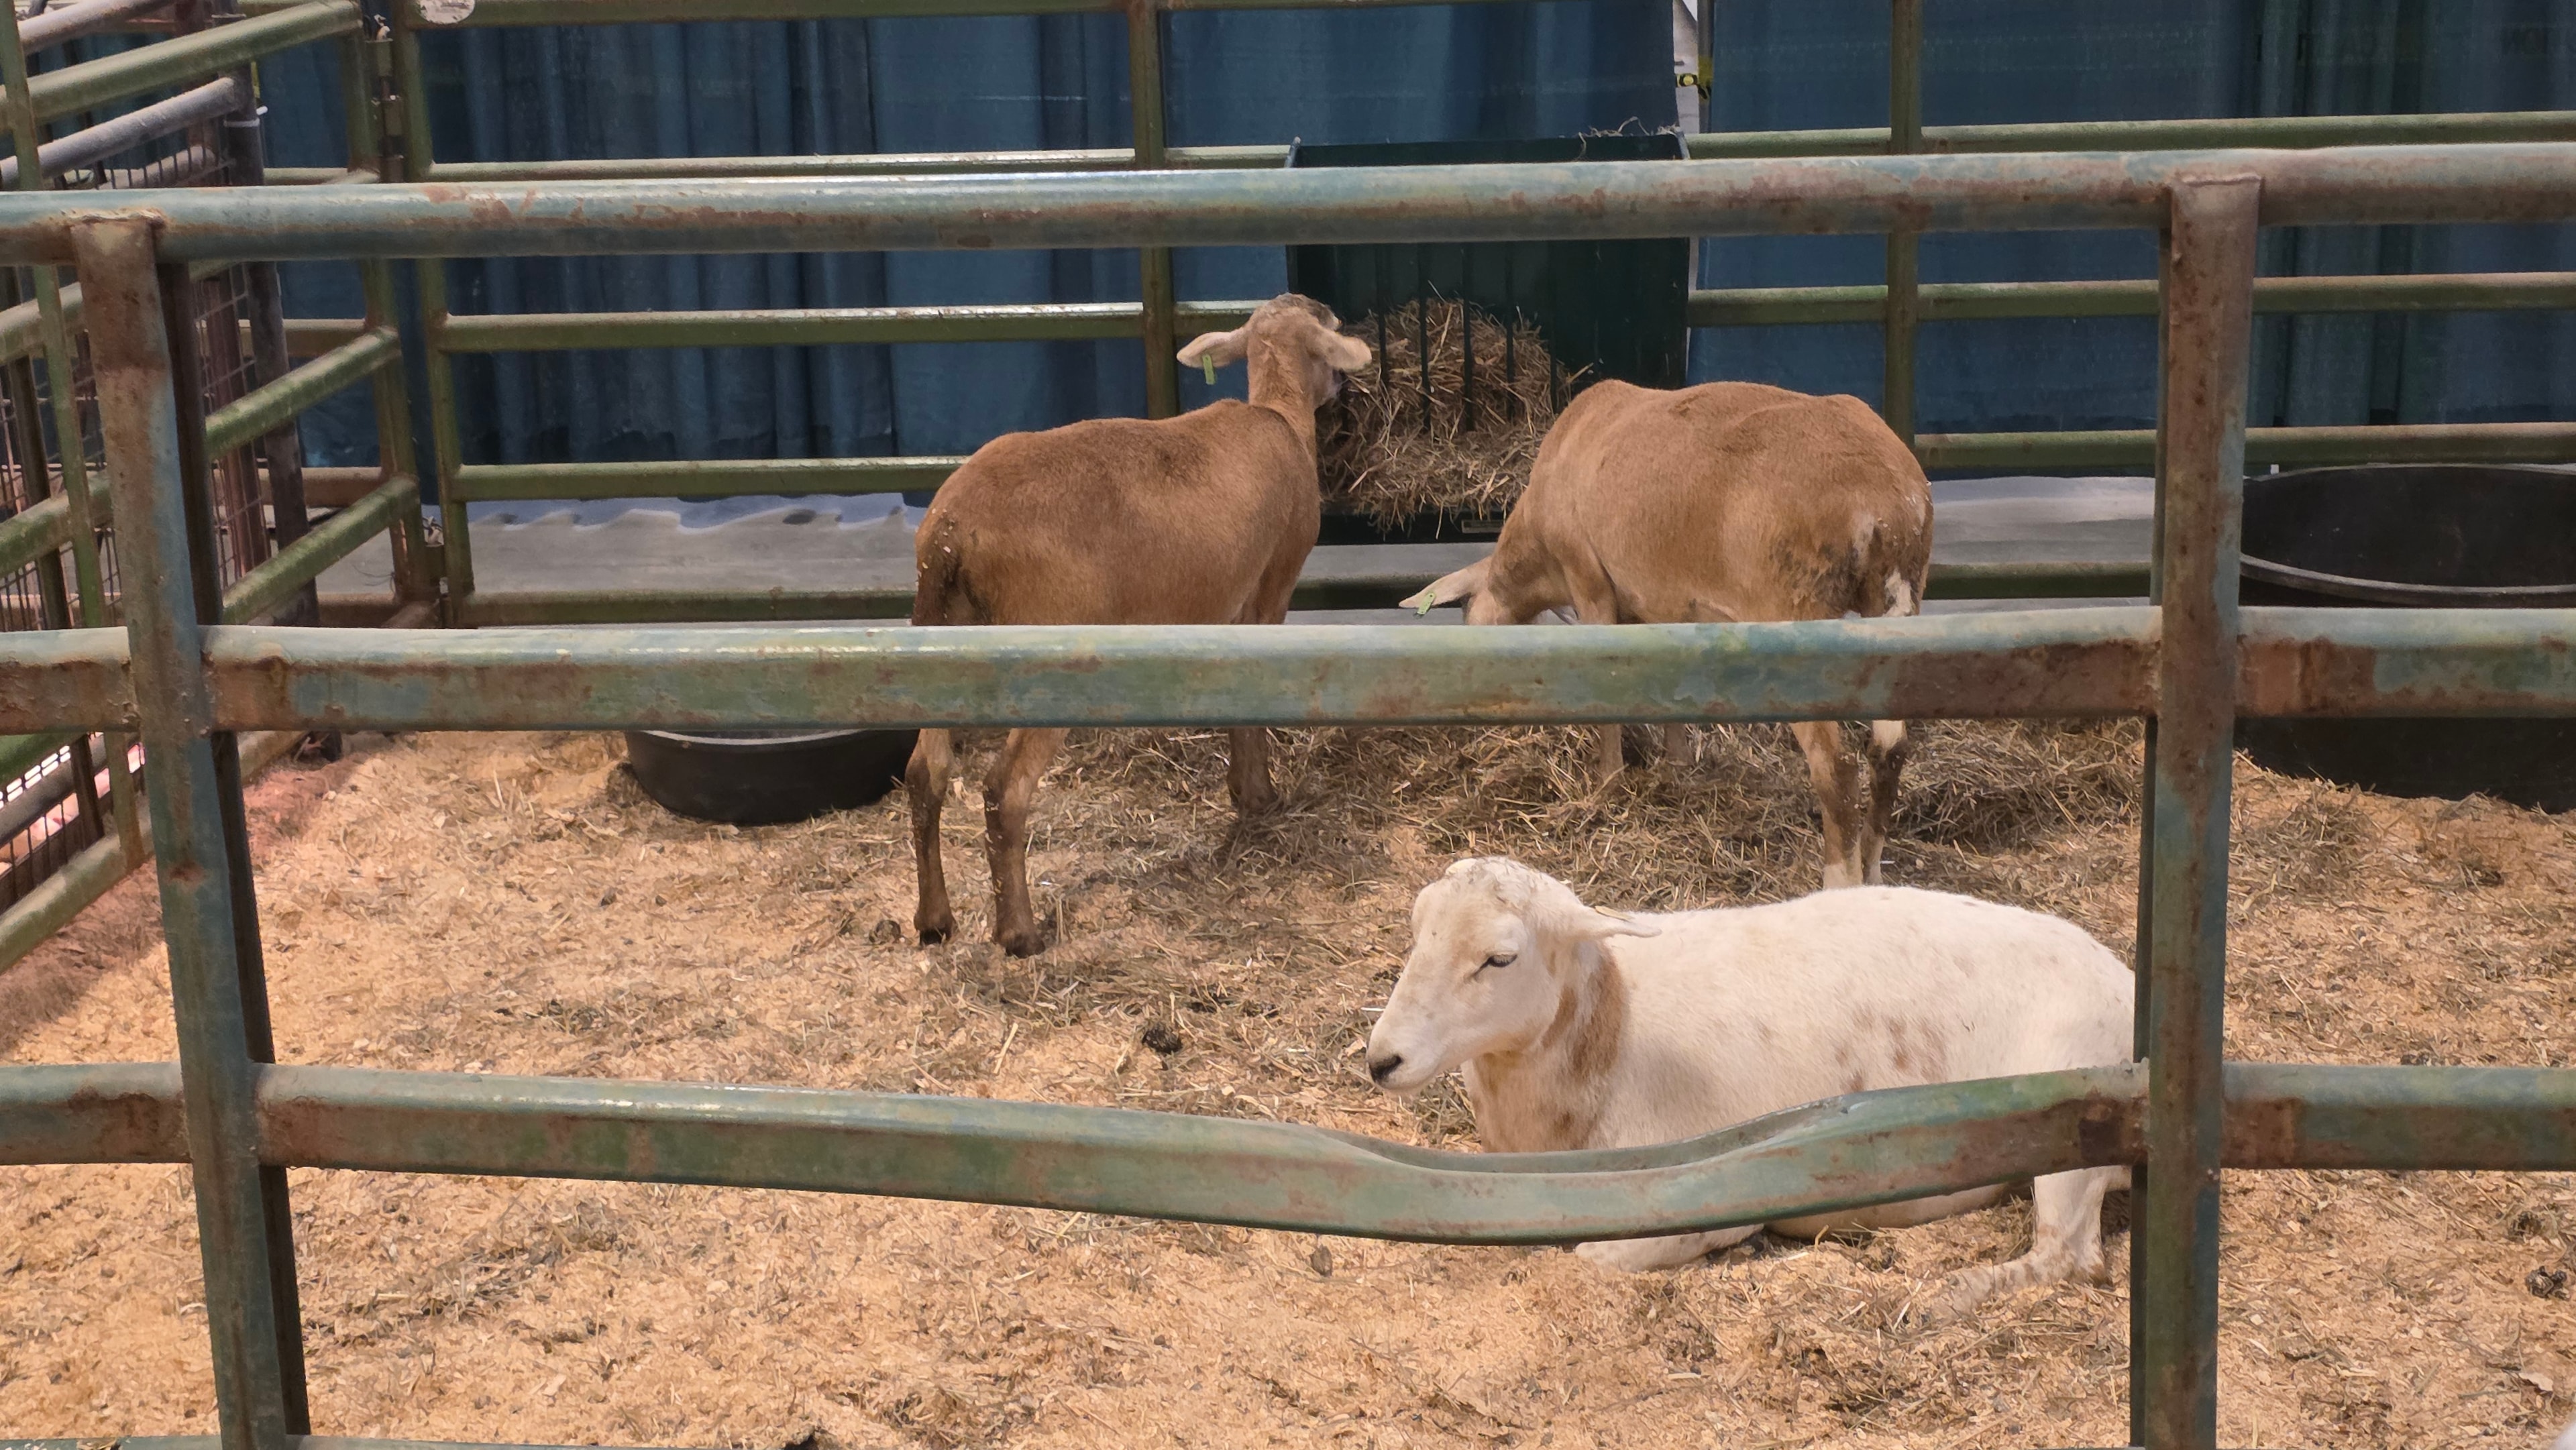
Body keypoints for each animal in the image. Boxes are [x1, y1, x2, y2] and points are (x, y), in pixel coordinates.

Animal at [906, 293, 1372, 957]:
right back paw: (1019, 932)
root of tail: (948, 534)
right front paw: (1260, 797)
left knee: (927, 774)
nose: (1343, 385)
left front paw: (1243, 791)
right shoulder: (1272, 585)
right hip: (1047, 648)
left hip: (942, 637)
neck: (1279, 412)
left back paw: (934, 919)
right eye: (1330, 330)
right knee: (1004, 789)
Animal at [1364, 857, 2132, 1316]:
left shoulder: (1708, 1195)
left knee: (2070, 1255)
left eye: (1500, 958)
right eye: (1416, 931)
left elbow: (1594, 1257)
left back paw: (1950, 1294)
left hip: (2076, 1102)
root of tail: (2126, 979)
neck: (1614, 1028)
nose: (1383, 1059)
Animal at [1400, 381, 1934, 889]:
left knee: (1836, 767)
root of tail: (1884, 502)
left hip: (1798, 612)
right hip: (1899, 597)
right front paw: (1677, 768)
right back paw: (1873, 869)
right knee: (1890, 750)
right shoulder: (1665, 608)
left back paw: (1840, 879)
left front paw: (1607, 785)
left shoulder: (1588, 579)